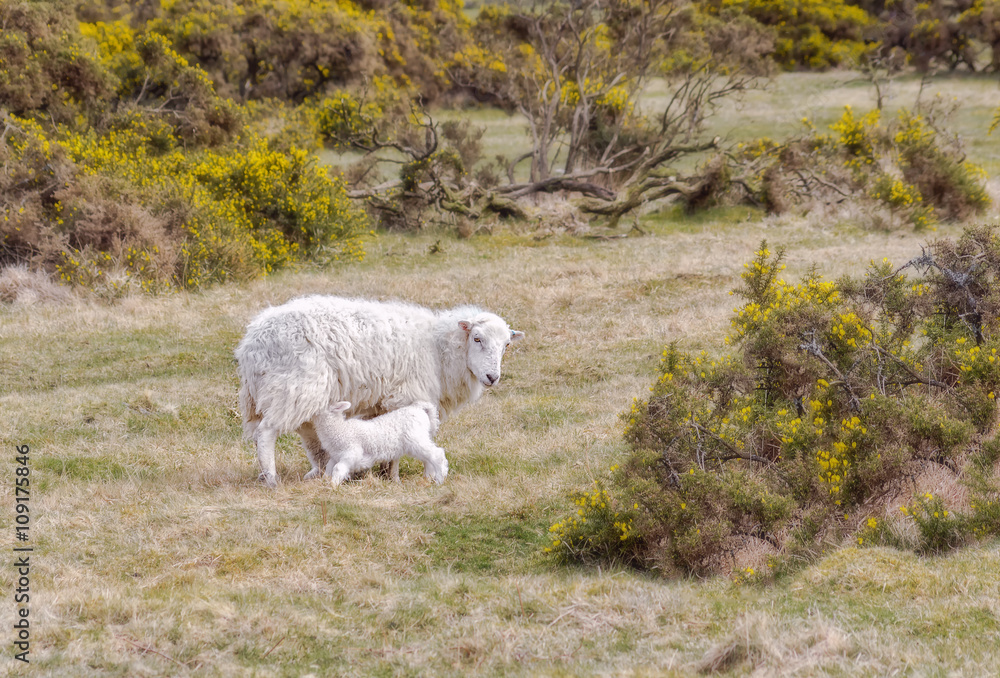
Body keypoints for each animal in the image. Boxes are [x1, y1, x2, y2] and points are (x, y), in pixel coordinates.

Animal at [316, 400, 448, 485]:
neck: (339, 429)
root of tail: (421, 410)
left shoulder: (352, 452)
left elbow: (338, 468)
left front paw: (333, 486)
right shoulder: (336, 455)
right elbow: (329, 468)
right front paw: (325, 481)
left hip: (416, 439)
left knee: (437, 454)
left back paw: (440, 479)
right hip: (418, 441)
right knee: (428, 458)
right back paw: (428, 477)